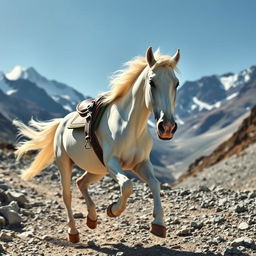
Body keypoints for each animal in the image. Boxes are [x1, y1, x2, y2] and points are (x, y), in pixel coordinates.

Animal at [13, 47, 180, 242]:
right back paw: (73, 232)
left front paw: (159, 224)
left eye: (176, 84)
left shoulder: (141, 164)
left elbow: (155, 184)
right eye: (152, 82)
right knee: (67, 195)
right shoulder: (113, 163)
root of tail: (62, 122)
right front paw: (113, 210)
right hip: (65, 163)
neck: (130, 126)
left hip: (97, 170)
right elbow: (127, 186)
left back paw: (92, 219)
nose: (167, 127)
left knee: (81, 182)